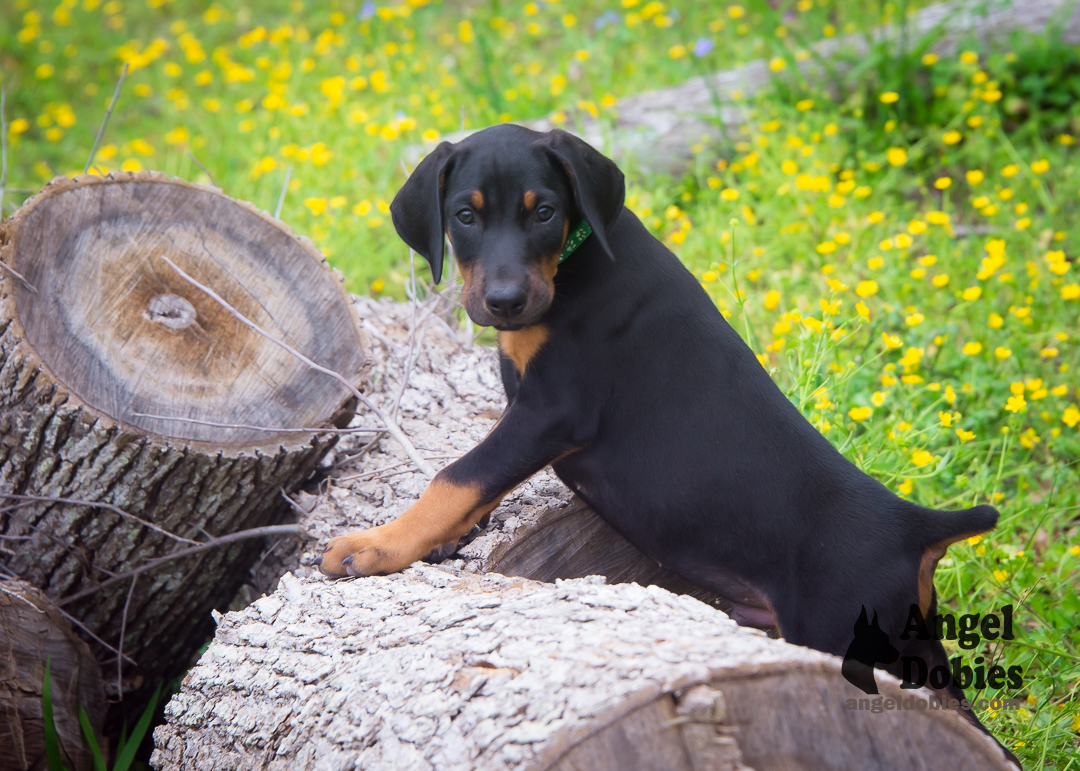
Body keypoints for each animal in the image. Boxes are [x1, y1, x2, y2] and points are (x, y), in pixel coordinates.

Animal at [321, 124, 1019, 764]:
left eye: (543, 212)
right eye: (465, 216)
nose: (505, 301)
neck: (574, 262)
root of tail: (915, 526)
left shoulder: (552, 410)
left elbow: (460, 473)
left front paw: (377, 547)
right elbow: (478, 480)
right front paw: (445, 539)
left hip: (846, 634)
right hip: (912, 644)